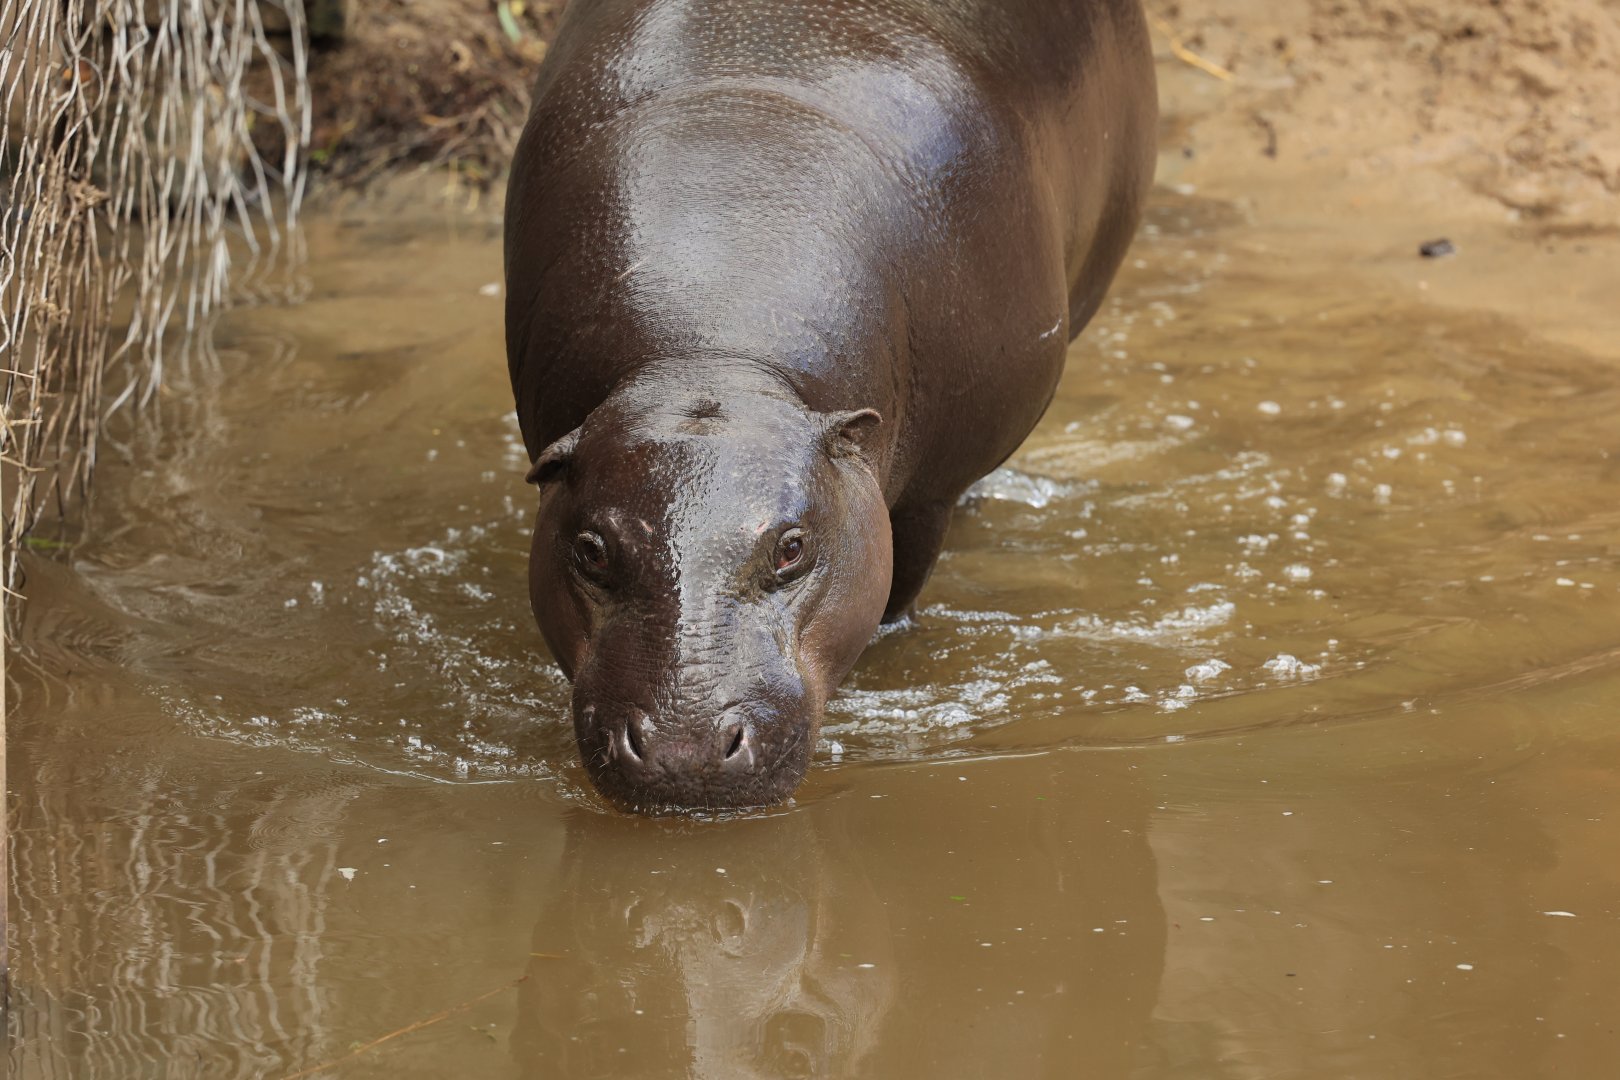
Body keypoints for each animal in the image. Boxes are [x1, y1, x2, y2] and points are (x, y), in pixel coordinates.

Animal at [504, 0, 1157, 810]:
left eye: (791, 548)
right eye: (591, 549)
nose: (685, 753)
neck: (710, 361)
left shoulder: (921, 498)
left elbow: (898, 594)